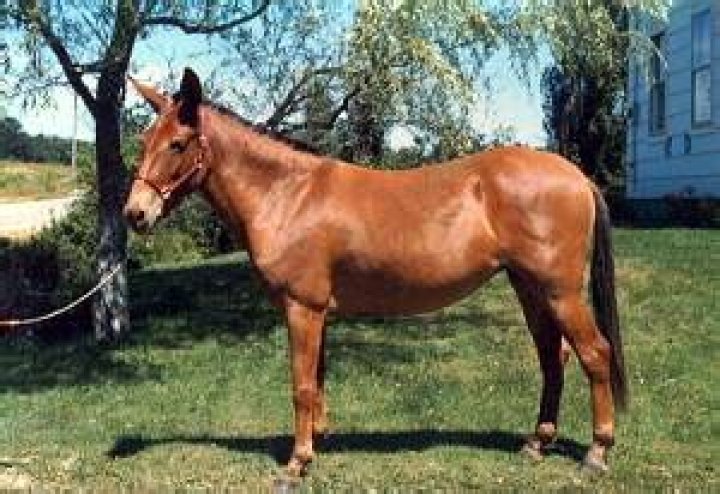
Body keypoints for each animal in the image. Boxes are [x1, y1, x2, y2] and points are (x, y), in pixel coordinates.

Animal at [124, 68, 627, 478]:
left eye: (177, 144)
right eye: (144, 142)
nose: (135, 214)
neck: (288, 193)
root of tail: (578, 177)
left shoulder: (302, 307)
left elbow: (301, 384)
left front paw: (297, 462)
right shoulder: (318, 312)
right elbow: (317, 379)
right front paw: (317, 443)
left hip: (560, 291)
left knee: (595, 353)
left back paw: (598, 452)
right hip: (530, 289)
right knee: (553, 358)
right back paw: (536, 444)